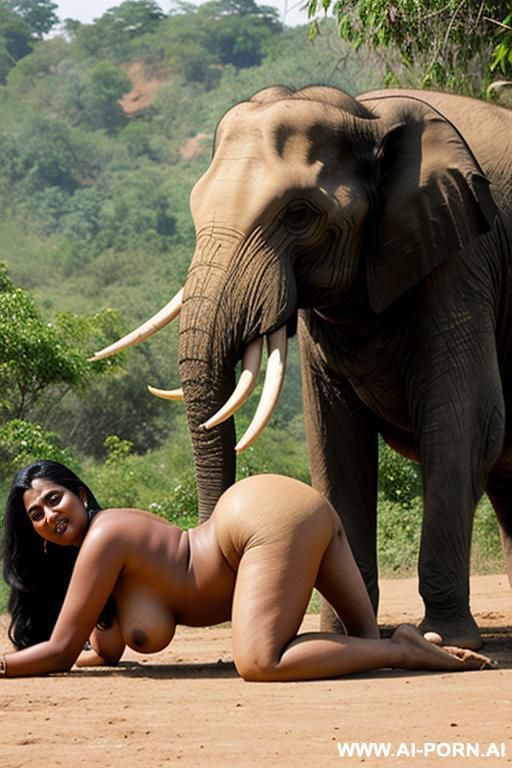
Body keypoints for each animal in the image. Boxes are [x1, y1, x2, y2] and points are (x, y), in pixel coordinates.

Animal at [92, 84, 512, 650]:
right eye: (195, 206)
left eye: (298, 215)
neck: (365, 115)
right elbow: (333, 438)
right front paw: (346, 635)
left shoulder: (463, 257)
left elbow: (465, 422)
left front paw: (444, 639)